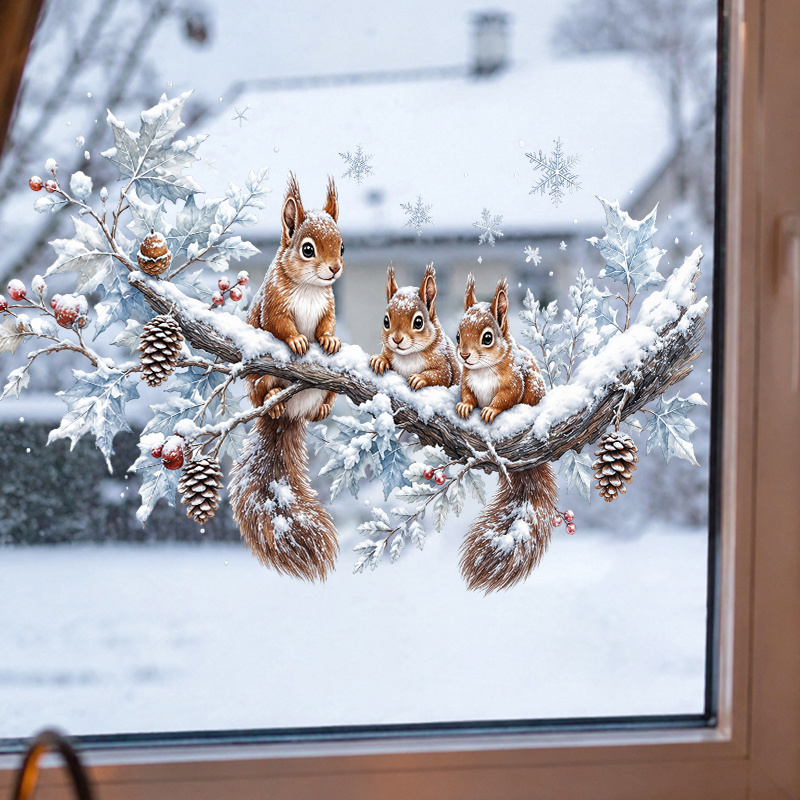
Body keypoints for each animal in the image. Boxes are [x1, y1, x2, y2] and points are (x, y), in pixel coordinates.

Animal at [229, 173, 343, 582]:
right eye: (307, 249)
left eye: (342, 246)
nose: (335, 269)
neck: (310, 289)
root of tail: (291, 413)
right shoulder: (275, 304)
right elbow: (279, 325)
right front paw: (296, 340)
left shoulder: (327, 306)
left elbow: (327, 325)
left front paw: (329, 339)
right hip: (262, 382)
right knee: (263, 393)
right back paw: (272, 403)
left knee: (318, 406)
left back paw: (321, 409)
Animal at [455, 274, 559, 593]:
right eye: (457, 336)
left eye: (488, 337)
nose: (464, 355)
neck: (482, 371)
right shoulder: (466, 380)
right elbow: (467, 394)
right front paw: (465, 406)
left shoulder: (514, 380)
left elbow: (507, 398)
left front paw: (490, 412)